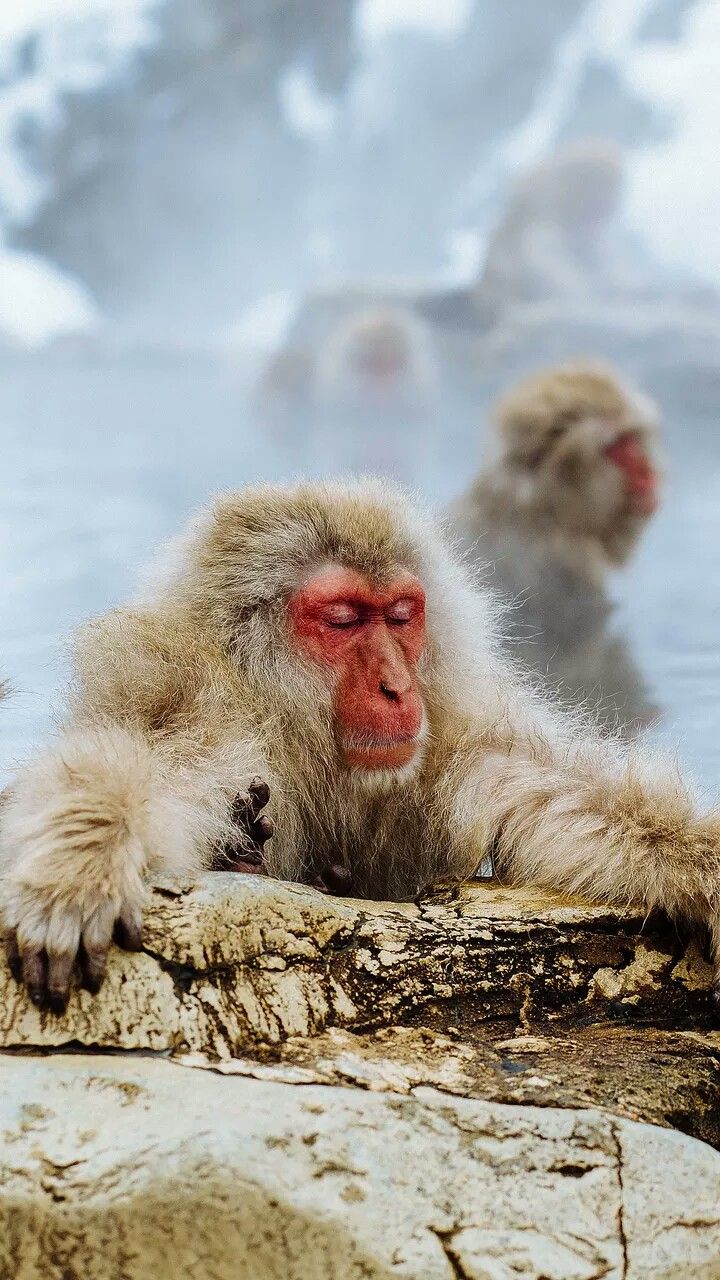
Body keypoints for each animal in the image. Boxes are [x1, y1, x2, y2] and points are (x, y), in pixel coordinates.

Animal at [2, 477, 719, 1017]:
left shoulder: (451, 735)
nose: (397, 687)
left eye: (401, 615)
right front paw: (82, 863)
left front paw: (701, 864)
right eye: (344, 619)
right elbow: (147, 765)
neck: (296, 728)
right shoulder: (200, 706)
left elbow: (561, 796)